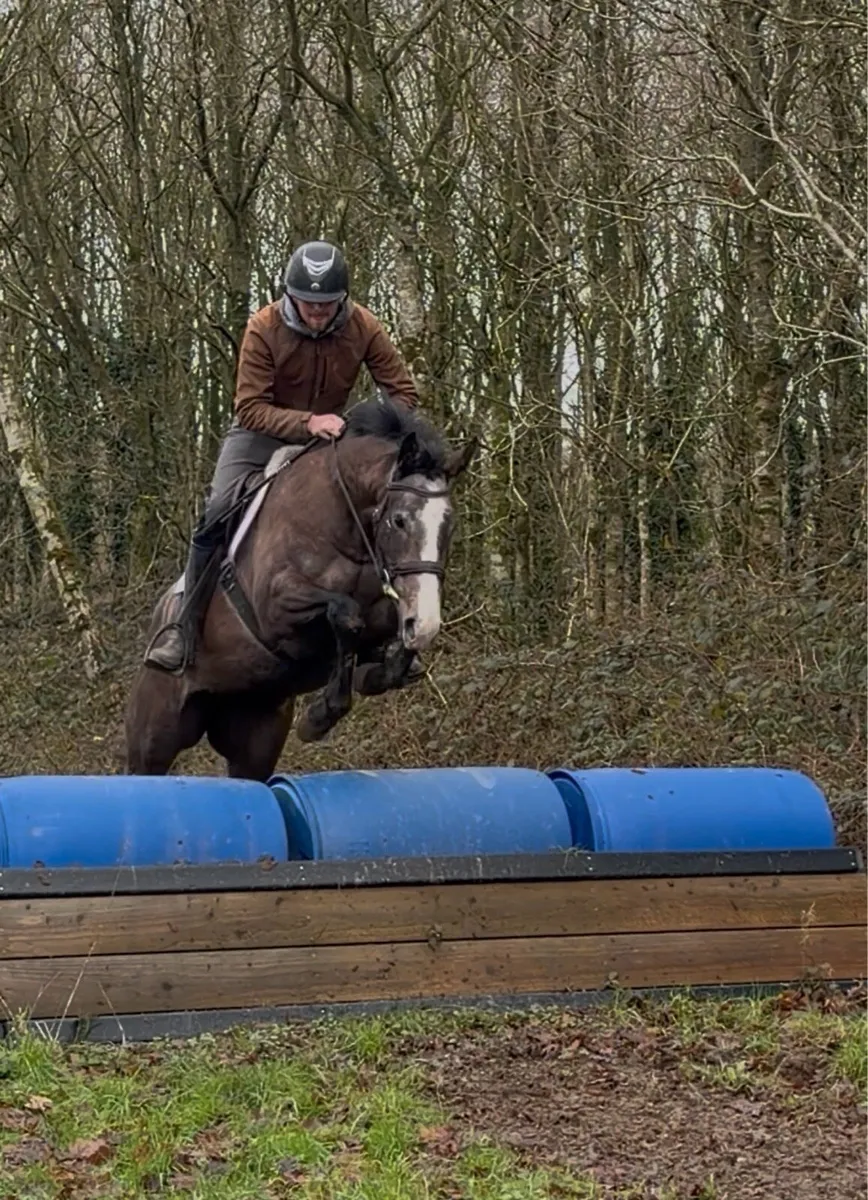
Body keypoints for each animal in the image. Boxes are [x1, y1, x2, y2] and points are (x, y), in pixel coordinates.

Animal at [123, 398, 477, 780]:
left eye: (450, 525)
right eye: (399, 520)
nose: (425, 621)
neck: (344, 526)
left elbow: (394, 640)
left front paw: (375, 673)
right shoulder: (277, 609)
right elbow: (346, 614)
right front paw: (319, 717)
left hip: (256, 735)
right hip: (156, 735)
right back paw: (172, 648)